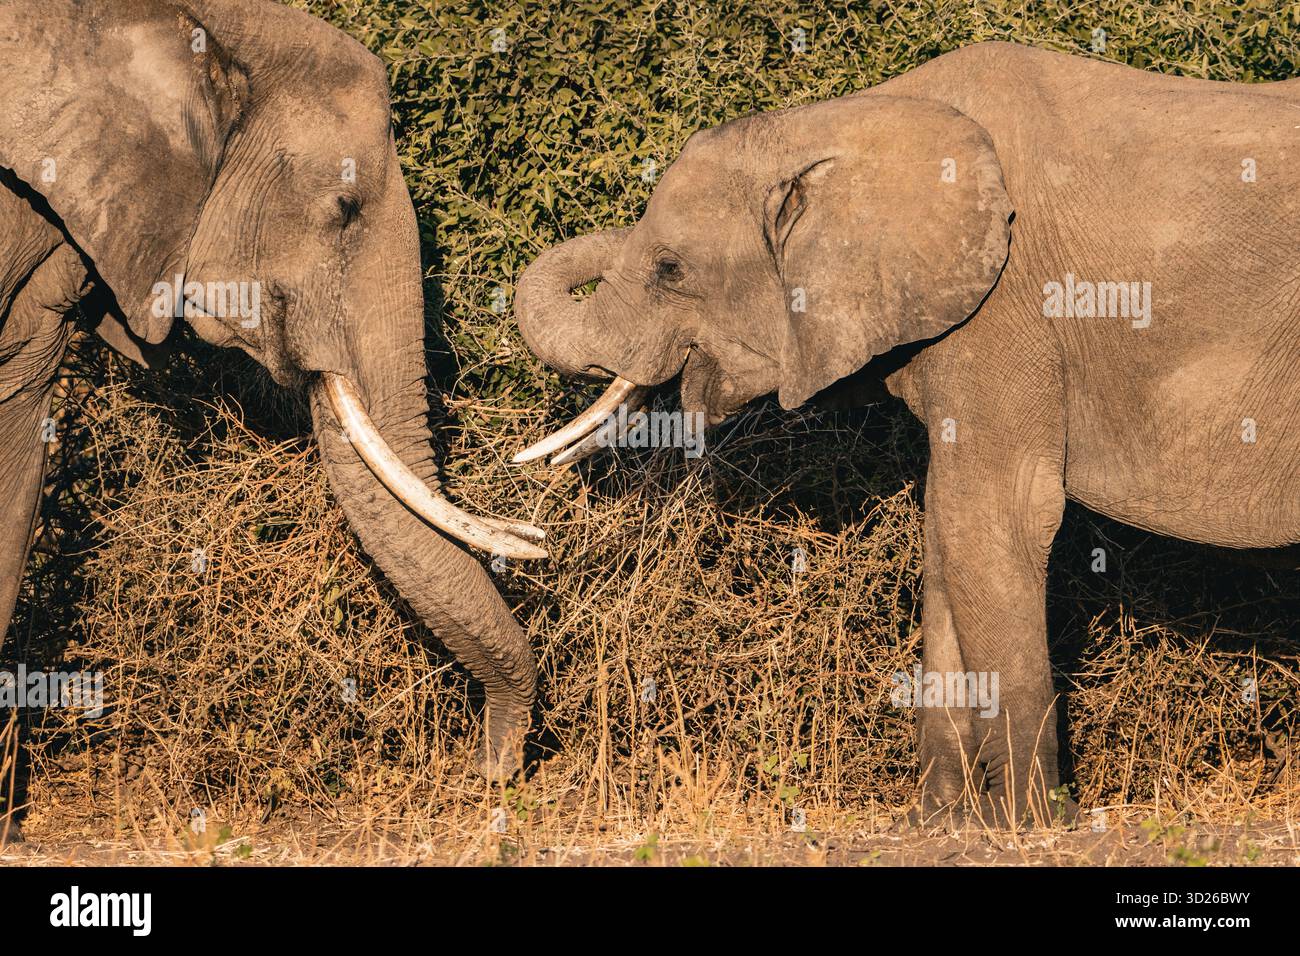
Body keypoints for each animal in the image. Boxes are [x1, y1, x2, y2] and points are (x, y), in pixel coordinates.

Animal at [511, 41, 1300, 826]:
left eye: (669, 268)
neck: (838, 122)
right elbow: (946, 531)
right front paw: (943, 822)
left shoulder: (1006, 305)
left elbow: (997, 519)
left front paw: (1027, 825)